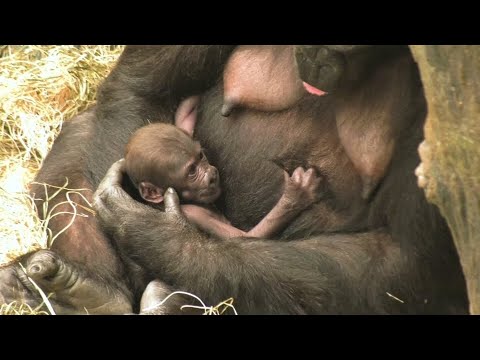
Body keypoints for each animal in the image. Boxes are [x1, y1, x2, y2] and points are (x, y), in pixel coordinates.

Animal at [124, 123, 320, 239]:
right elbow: (244, 238)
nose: (211, 175)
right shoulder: (194, 214)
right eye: (192, 171)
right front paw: (294, 197)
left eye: (200, 156)